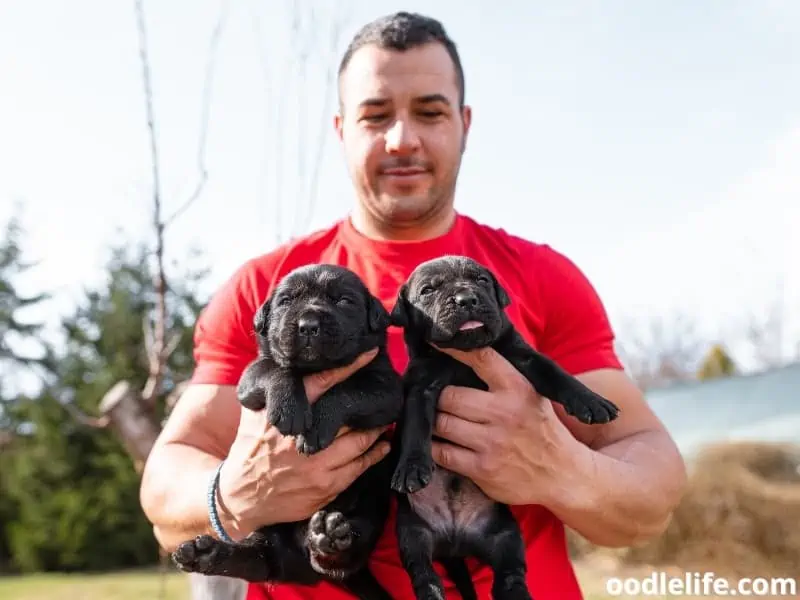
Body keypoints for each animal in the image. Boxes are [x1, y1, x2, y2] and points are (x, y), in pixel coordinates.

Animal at [171, 264, 404, 596]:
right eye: (285, 301)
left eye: (344, 301)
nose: (308, 325)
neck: (313, 370)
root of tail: (304, 556)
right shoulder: (249, 378)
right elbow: (276, 369)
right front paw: (289, 408)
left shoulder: (387, 389)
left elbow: (346, 390)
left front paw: (316, 427)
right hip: (271, 531)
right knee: (258, 559)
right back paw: (207, 554)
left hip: (369, 508)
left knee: (345, 553)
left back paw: (331, 538)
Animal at [388, 256, 620, 600]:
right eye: (428, 290)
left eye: (481, 280)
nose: (466, 299)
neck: (463, 357)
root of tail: (455, 541)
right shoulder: (420, 387)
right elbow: (415, 431)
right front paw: (411, 468)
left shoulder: (523, 357)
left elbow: (557, 374)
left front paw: (591, 401)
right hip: (412, 532)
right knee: (423, 572)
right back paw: (432, 593)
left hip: (505, 534)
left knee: (510, 573)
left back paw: (515, 593)